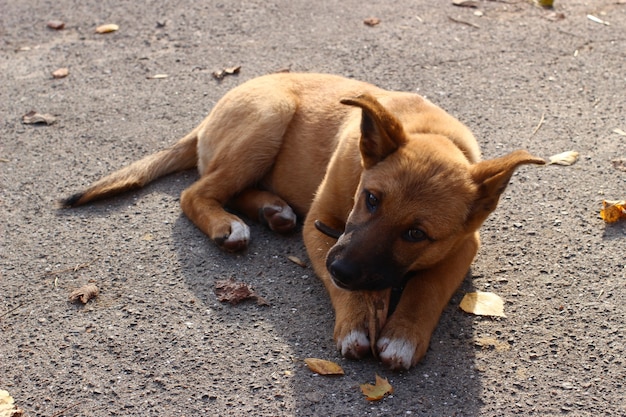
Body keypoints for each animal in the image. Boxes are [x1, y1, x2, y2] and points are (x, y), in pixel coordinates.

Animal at [61, 73, 544, 368]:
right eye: (371, 199)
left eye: (416, 234)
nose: (341, 267)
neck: (431, 133)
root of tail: (207, 118)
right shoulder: (322, 226)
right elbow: (344, 289)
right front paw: (355, 322)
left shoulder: (463, 245)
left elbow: (429, 287)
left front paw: (404, 333)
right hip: (269, 116)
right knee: (195, 191)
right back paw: (227, 225)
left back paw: (272, 210)